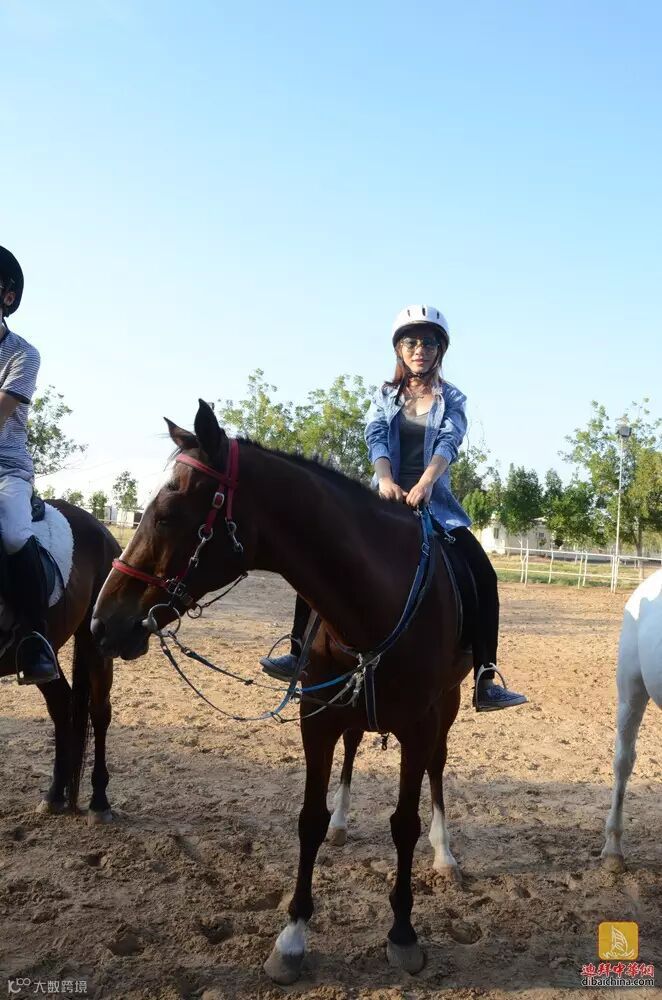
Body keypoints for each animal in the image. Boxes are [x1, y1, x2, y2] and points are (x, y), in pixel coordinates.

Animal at [91, 400, 472, 984]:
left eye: (167, 514)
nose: (101, 623)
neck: (376, 598)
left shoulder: (418, 725)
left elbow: (404, 824)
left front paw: (403, 932)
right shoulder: (317, 716)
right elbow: (308, 820)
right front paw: (292, 937)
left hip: (445, 711)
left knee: (436, 767)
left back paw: (445, 854)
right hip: (349, 709)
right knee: (354, 750)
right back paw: (343, 824)